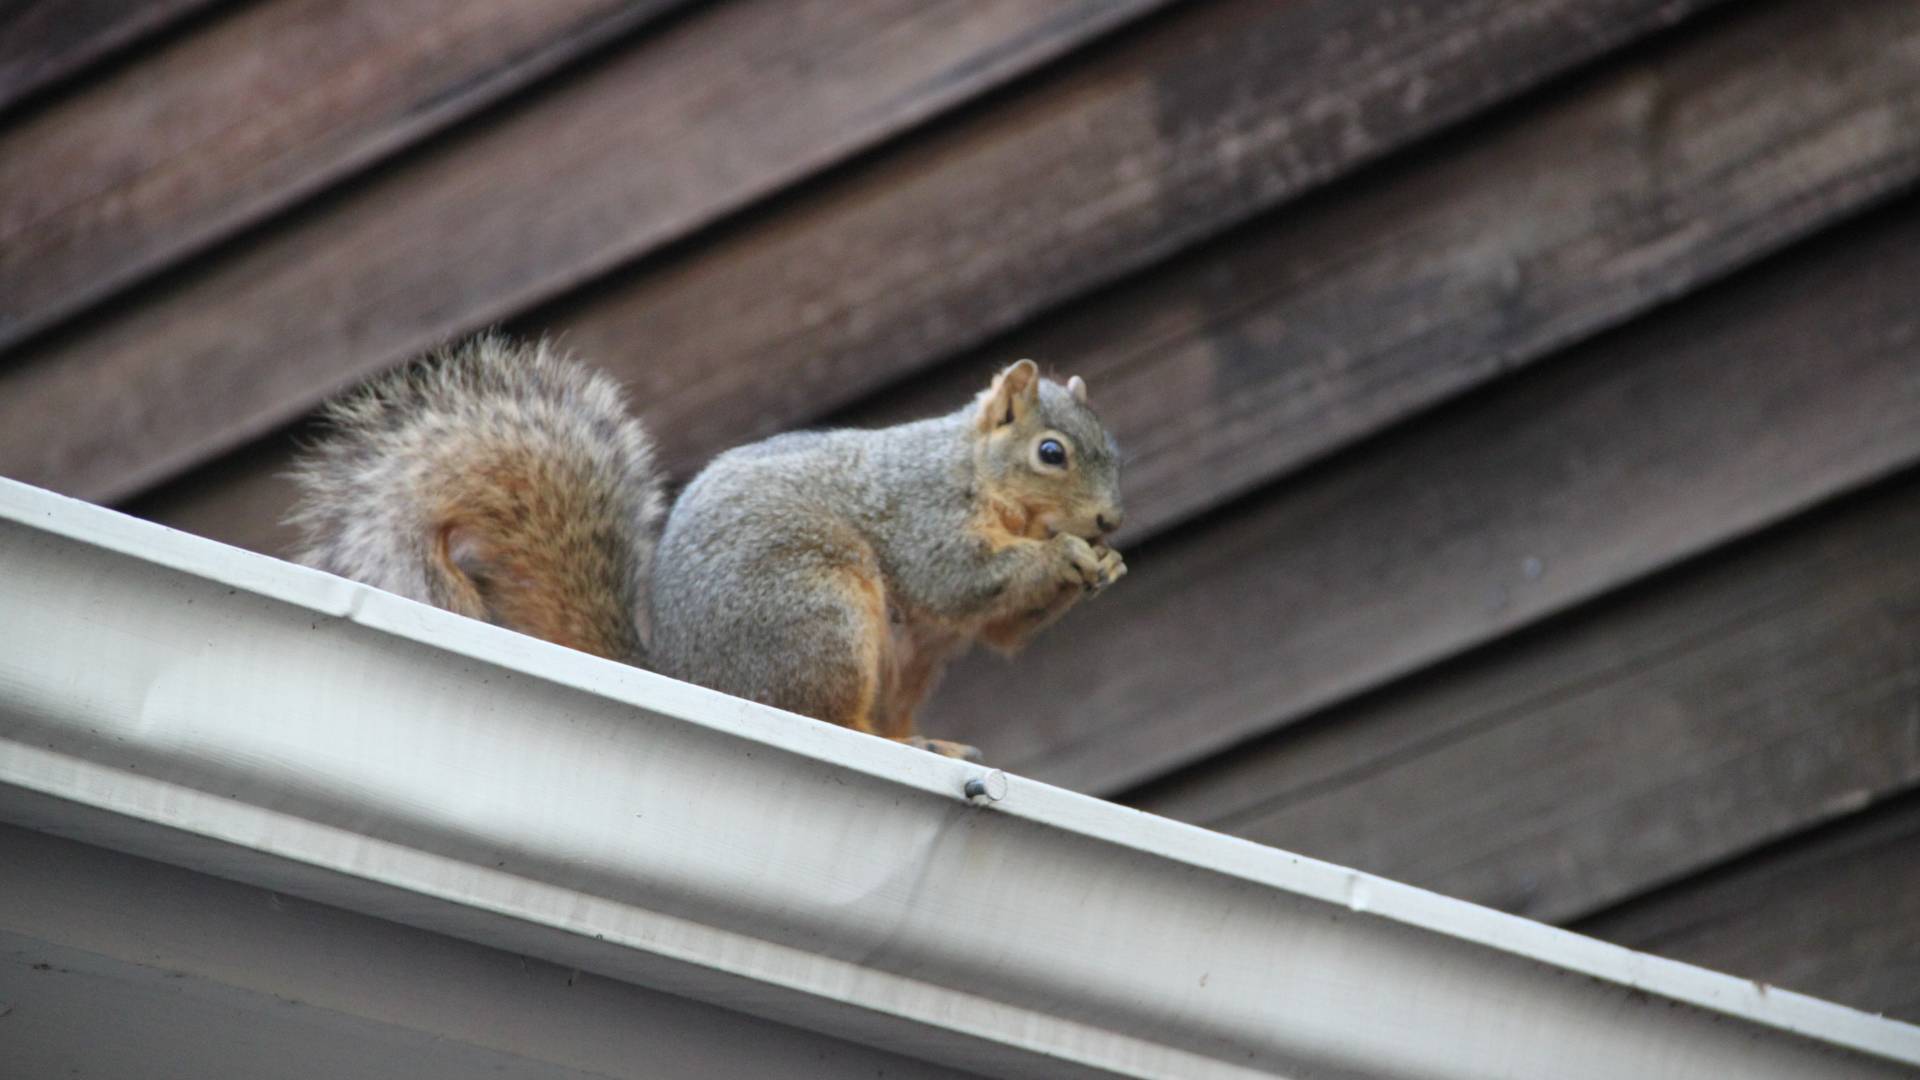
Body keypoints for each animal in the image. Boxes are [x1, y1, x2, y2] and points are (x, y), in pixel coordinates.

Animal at [284, 332, 1121, 760]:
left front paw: (1102, 567)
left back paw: (925, 744)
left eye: (1114, 450)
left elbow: (1001, 629)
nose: (1110, 522)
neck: (974, 473)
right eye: (1052, 453)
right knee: (823, 713)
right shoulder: (921, 513)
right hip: (818, 613)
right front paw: (1065, 558)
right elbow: (958, 579)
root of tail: (690, 676)